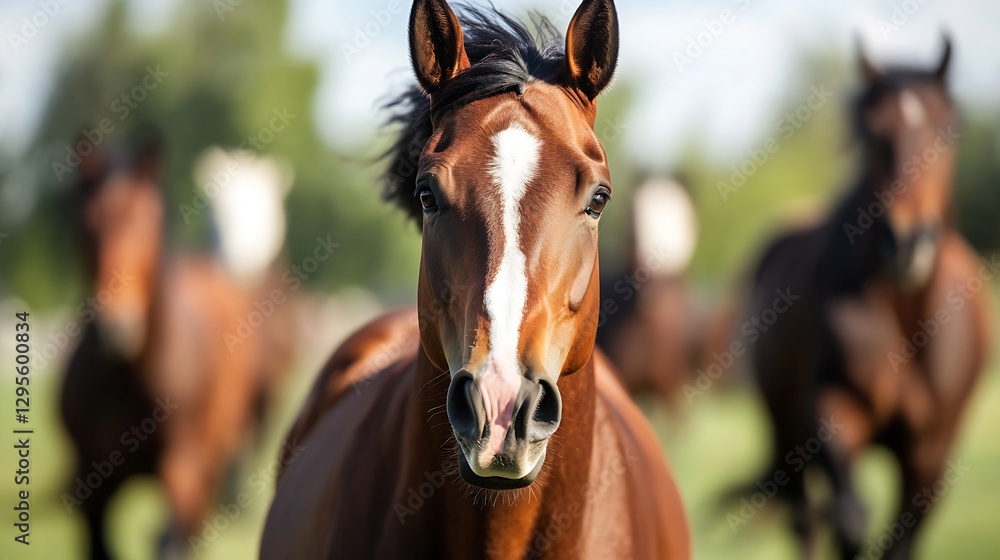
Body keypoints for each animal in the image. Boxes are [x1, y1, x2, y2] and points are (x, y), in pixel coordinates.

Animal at [60, 131, 285, 559]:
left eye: (146, 221)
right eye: (85, 224)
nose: (117, 325)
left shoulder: (182, 469)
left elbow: (170, 539)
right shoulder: (90, 481)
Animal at [745, 39, 992, 559]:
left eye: (948, 131)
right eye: (875, 135)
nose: (908, 241)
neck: (907, 316)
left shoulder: (930, 455)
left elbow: (900, 540)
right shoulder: (834, 413)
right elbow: (852, 523)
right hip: (785, 433)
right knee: (807, 522)